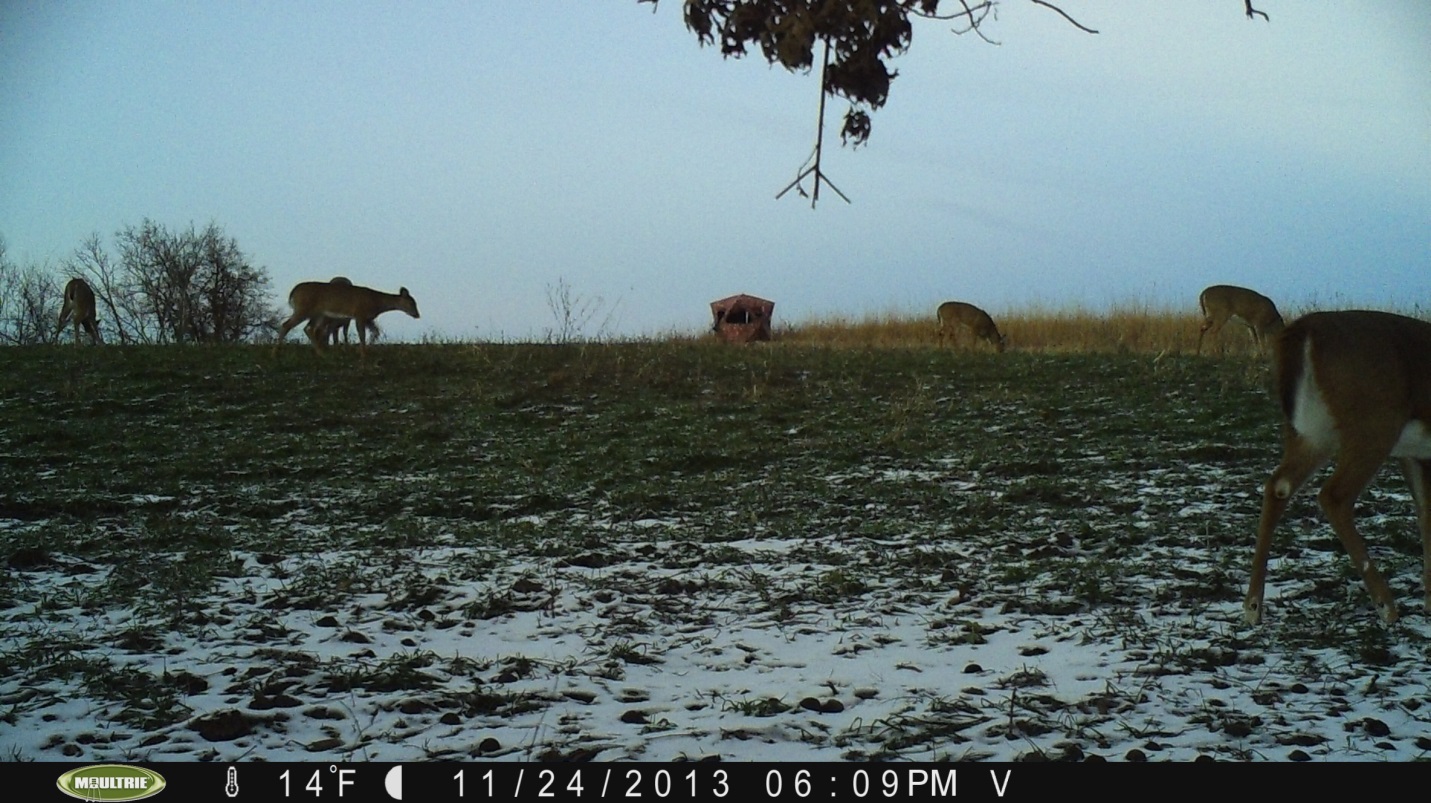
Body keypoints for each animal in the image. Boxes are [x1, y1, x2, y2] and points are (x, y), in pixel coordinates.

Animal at [273, 281, 417, 356]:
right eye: (412, 303)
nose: (417, 314)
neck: (376, 301)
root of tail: (292, 293)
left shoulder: (367, 318)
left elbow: (375, 332)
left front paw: (368, 348)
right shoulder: (359, 314)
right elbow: (362, 335)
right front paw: (363, 353)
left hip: (319, 314)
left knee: (310, 329)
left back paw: (322, 353)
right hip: (304, 309)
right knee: (286, 325)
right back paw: (275, 353)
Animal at [1242, 310, 1431, 624]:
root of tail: (1304, 329)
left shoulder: (1415, 453)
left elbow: (1425, 513)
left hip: (1314, 432)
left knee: (1278, 485)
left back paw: (1253, 606)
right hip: (1375, 425)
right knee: (1334, 495)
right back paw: (1386, 606)